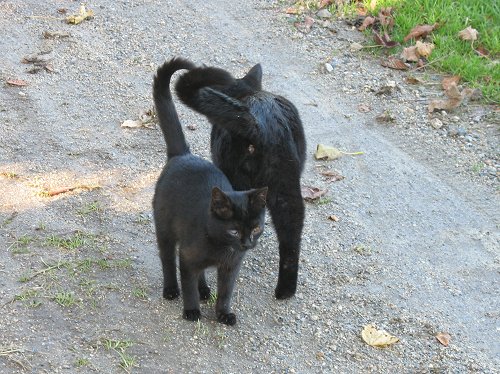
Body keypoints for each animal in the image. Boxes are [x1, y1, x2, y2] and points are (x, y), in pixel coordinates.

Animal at [152, 58, 268, 324]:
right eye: (234, 231)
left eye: (256, 228)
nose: (247, 244)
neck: (222, 249)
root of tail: (183, 155)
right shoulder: (187, 258)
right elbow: (187, 284)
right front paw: (192, 311)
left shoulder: (231, 267)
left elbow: (226, 291)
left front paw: (223, 314)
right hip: (164, 228)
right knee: (166, 258)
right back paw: (171, 289)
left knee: (201, 273)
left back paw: (205, 289)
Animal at [176, 62, 308, 300]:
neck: (248, 93)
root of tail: (258, 124)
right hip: (287, 191)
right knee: (291, 237)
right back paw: (285, 290)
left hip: (238, 178)